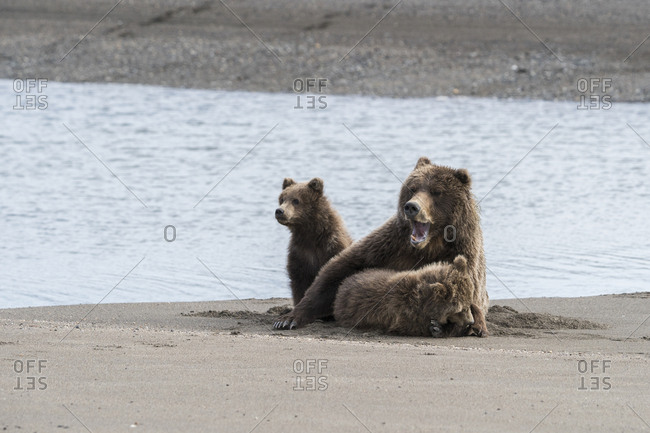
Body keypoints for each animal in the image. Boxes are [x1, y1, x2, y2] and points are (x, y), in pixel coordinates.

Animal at [275, 177, 353, 306]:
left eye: (296, 200)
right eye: (282, 199)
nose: (279, 211)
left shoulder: (332, 247)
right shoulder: (300, 253)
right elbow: (299, 281)